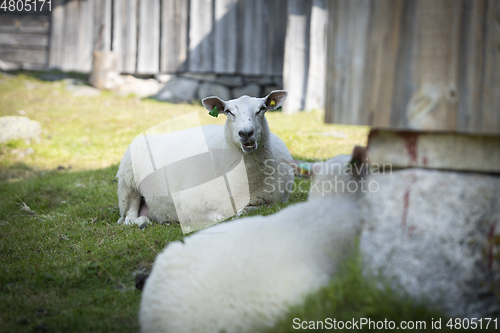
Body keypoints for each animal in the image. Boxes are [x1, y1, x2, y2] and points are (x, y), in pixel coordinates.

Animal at [114, 90, 292, 228]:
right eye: (229, 112)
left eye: (261, 109)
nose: (246, 133)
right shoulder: (190, 204)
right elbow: (223, 217)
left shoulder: (274, 202)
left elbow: (245, 212)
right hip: (128, 183)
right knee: (129, 217)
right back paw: (142, 222)